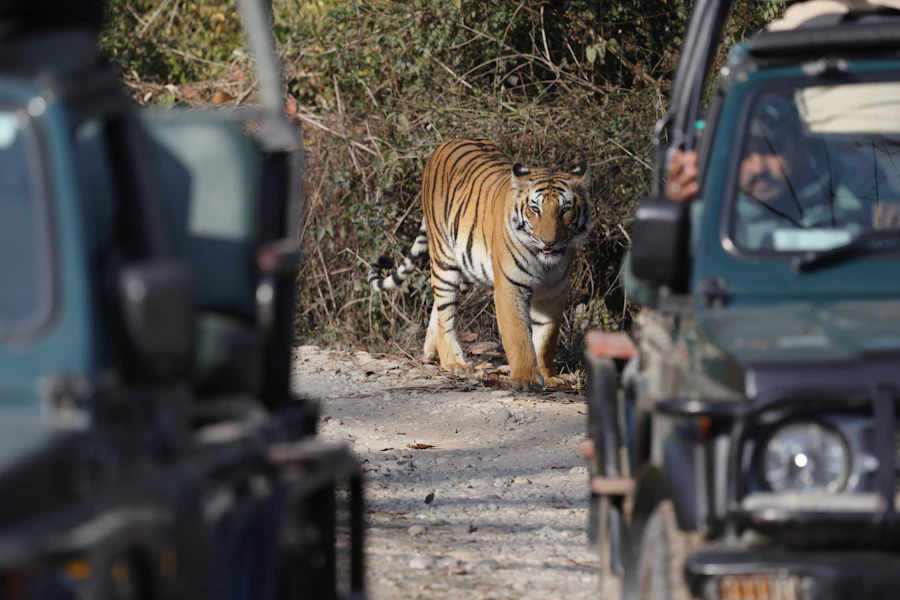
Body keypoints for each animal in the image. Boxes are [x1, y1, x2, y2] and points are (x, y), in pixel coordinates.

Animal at [368, 138, 591, 391]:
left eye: (565, 209)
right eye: (535, 209)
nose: (549, 241)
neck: (545, 263)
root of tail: (445, 143)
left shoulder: (554, 293)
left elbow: (546, 338)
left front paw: (549, 377)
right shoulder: (510, 287)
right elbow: (518, 336)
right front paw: (526, 379)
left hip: (466, 269)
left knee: (438, 307)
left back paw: (433, 352)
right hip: (445, 259)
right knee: (446, 312)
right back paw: (453, 362)